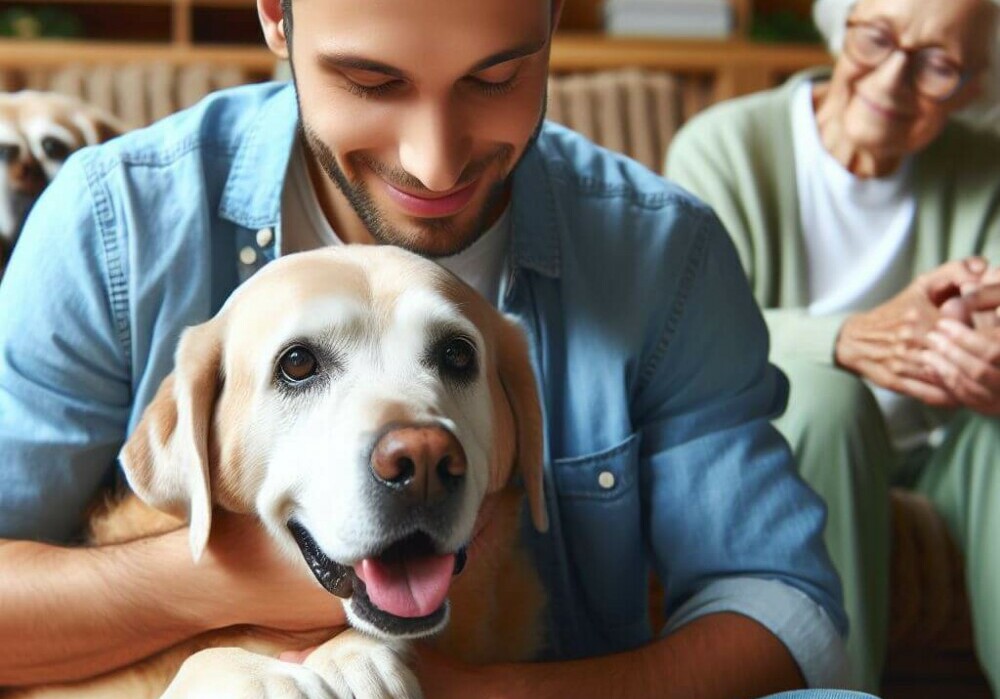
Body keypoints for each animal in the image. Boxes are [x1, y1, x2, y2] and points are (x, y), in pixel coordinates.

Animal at [13, 246, 548, 699]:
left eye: (457, 354)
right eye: (297, 363)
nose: (422, 462)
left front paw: (351, 656)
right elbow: (203, 661)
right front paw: (280, 675)